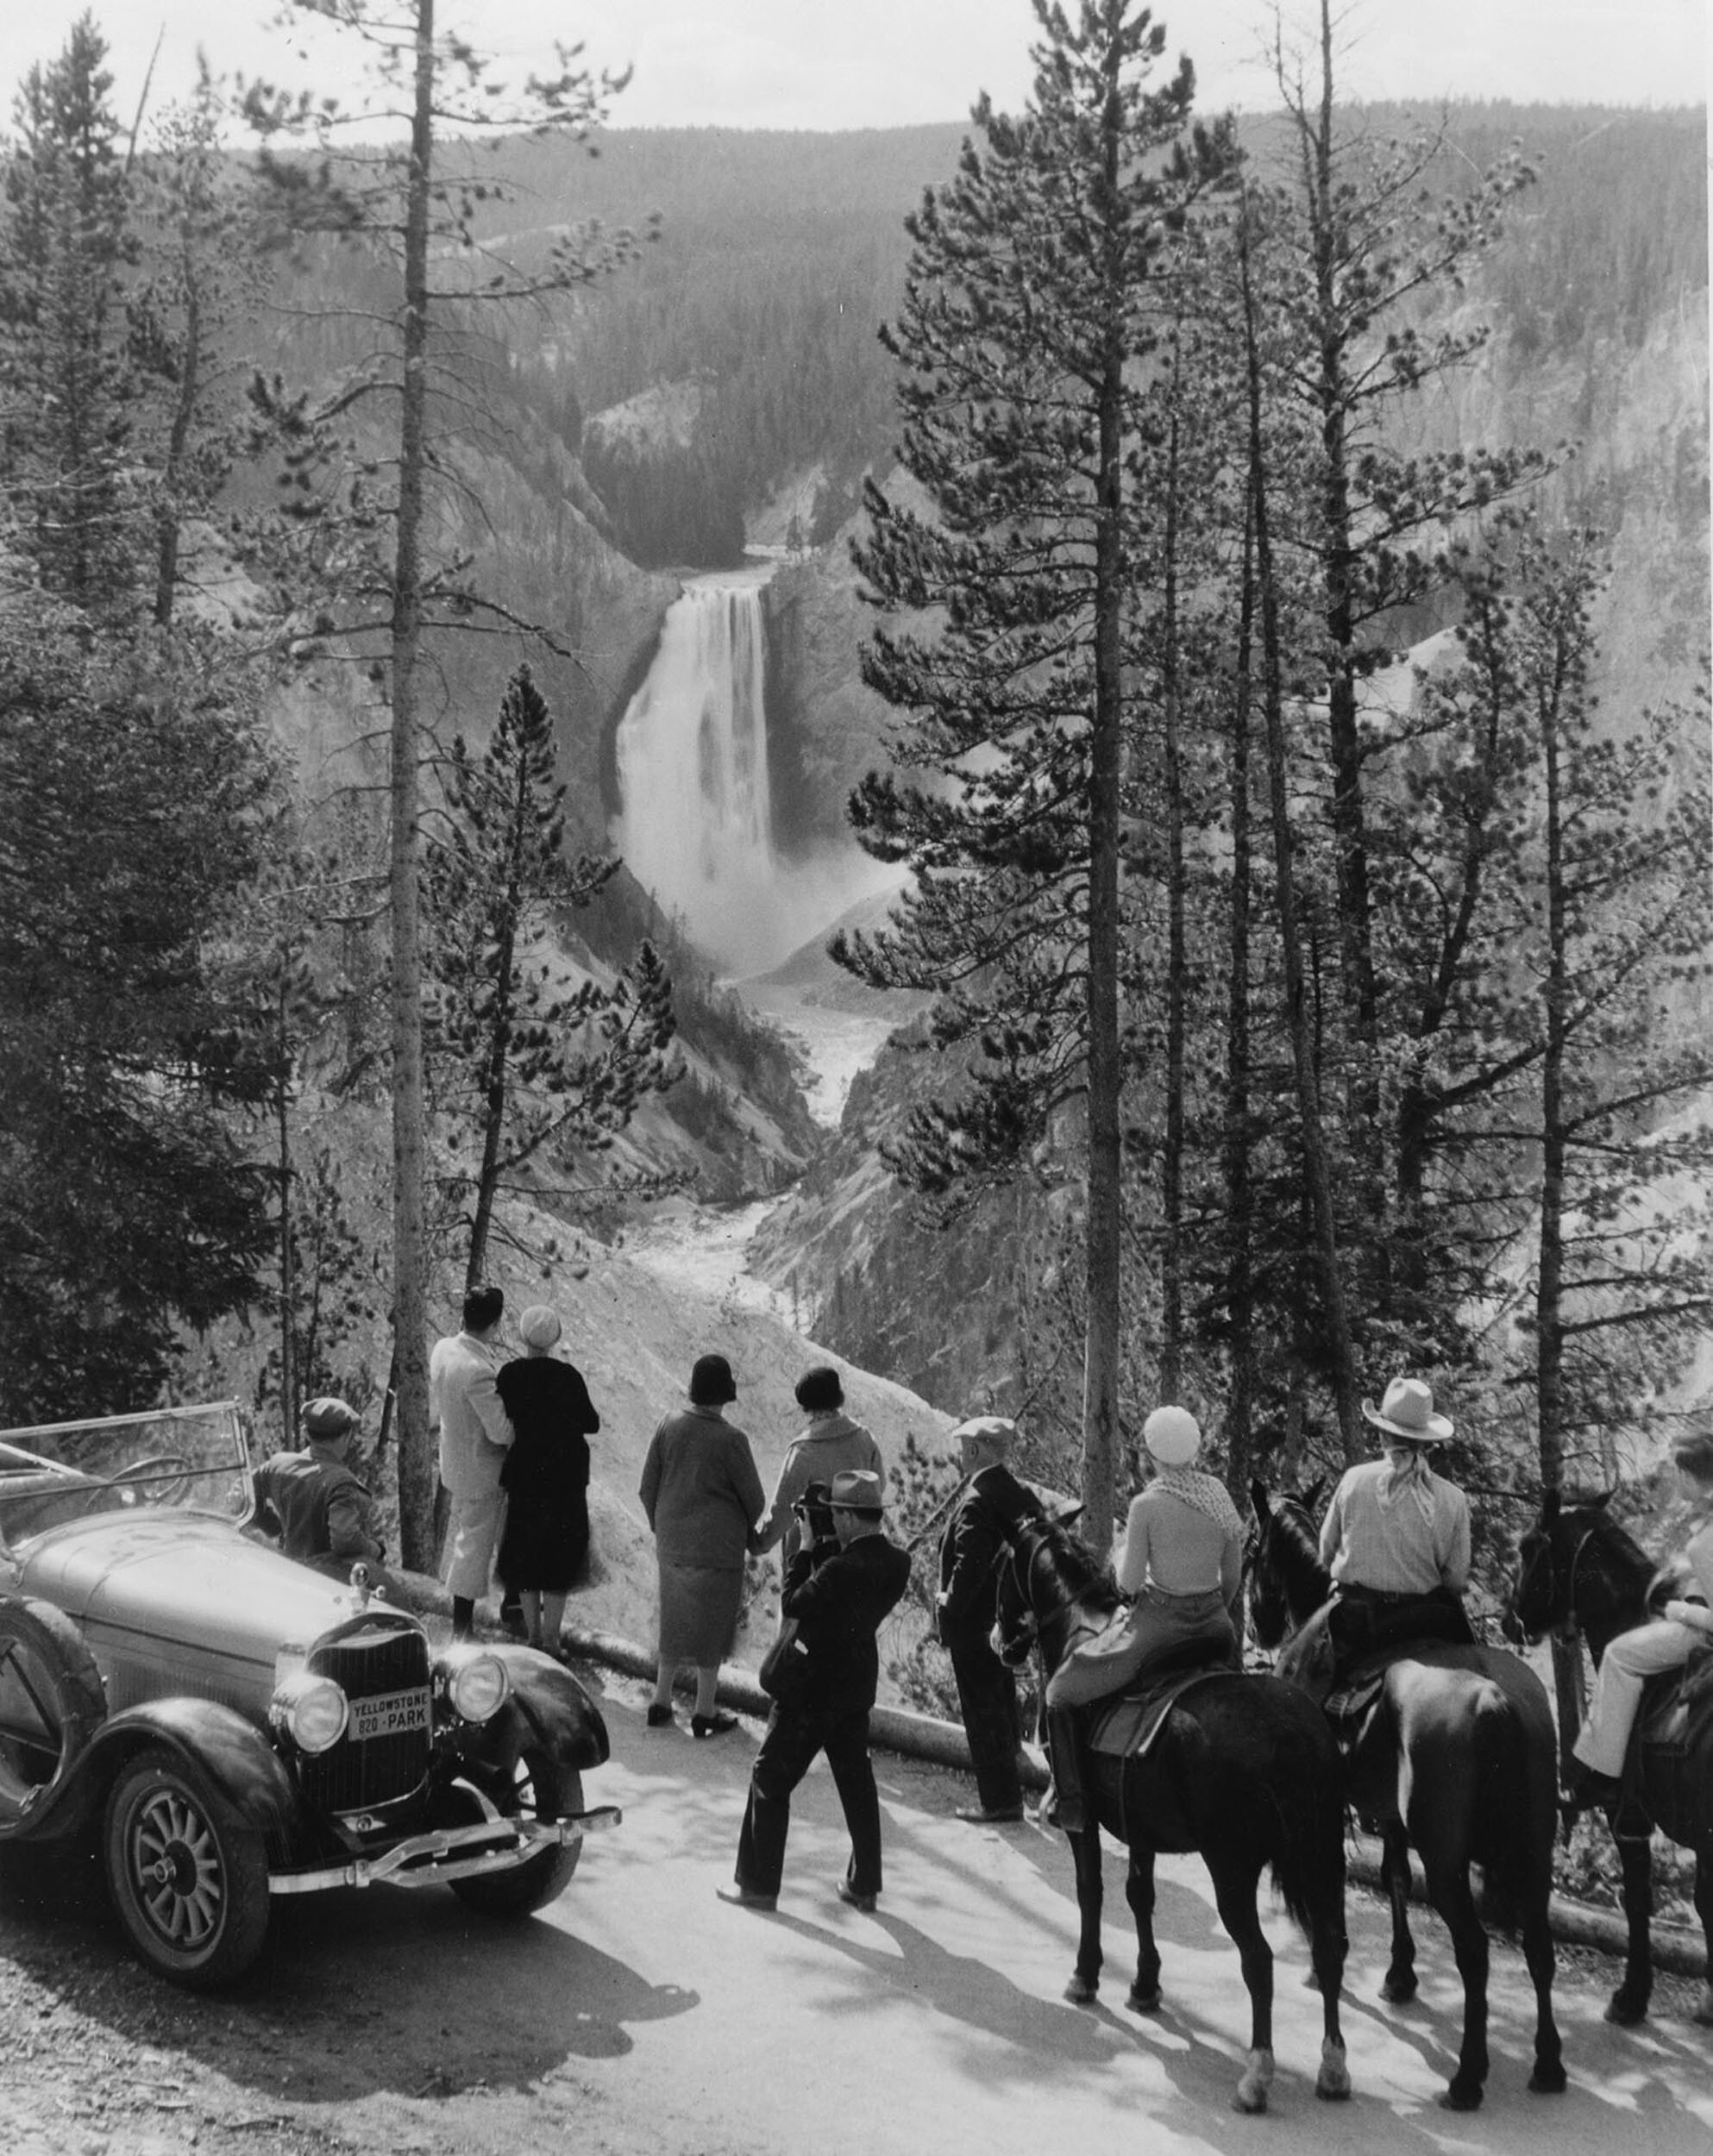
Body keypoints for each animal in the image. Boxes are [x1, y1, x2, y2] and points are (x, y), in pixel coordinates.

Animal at [988, 1475, 1346, 2113]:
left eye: (1002, 1565)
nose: (999, 1640)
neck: (1082, 1625)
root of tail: (1293, 1731)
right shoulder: (1142, 1826)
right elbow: (1140, 1896)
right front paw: (1145, 1984)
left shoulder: (1088, 1822)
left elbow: (1092, 1891)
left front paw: (1086, 1975)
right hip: (1321, 1858)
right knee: (1328, 1945)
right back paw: (1332, 2066)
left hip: (1233, 1868)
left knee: (1259, 1960)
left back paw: (1257, 2073)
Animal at [1242, 1483, 1561, 2104]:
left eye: (1250, 1549)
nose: (1257, 1628)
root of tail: (1496, 1700)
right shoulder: (1388, 1813)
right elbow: (1393, 1878)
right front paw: (1399, 1974)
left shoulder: (1330, 1807)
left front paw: (1326, 1959)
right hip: (1535, 1849)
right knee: (1539, 1945)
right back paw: (1548, 2063)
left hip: (1445, 1857)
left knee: (1475, 1953)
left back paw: (1468, 2076)